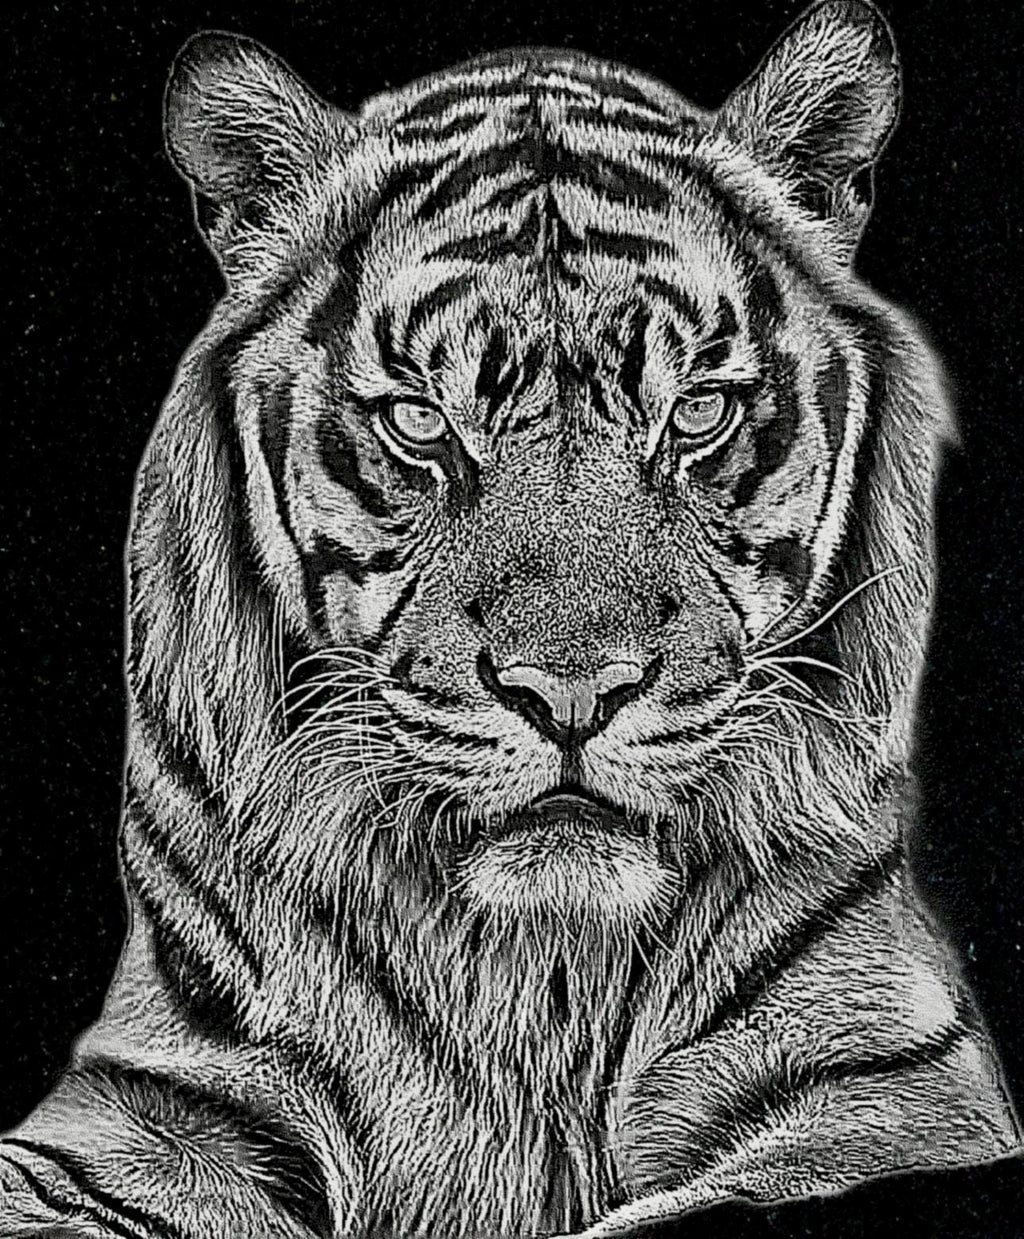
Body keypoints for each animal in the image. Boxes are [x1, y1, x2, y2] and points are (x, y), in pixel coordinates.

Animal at [1, 1, 1019, 1236]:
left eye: (697, 413)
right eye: (419, 424)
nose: (569, 694)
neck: (542, 972)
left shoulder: (893, 1085)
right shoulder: (164, 1094)